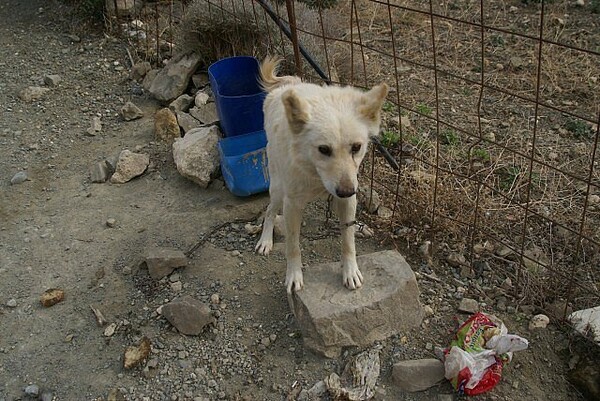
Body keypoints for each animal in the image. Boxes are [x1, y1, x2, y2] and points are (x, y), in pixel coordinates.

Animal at [254, 57, 390, 294]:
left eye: (356, 147)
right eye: (323, 149)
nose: (346, 191)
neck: (315, 175)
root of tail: (290, 86)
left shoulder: (348, 199)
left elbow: (348, 240)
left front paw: (350, 271)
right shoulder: (292, 205)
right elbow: (293, 245)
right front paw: (294, 275)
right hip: (278, 189)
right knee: (269, 212)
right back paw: (265, 240)